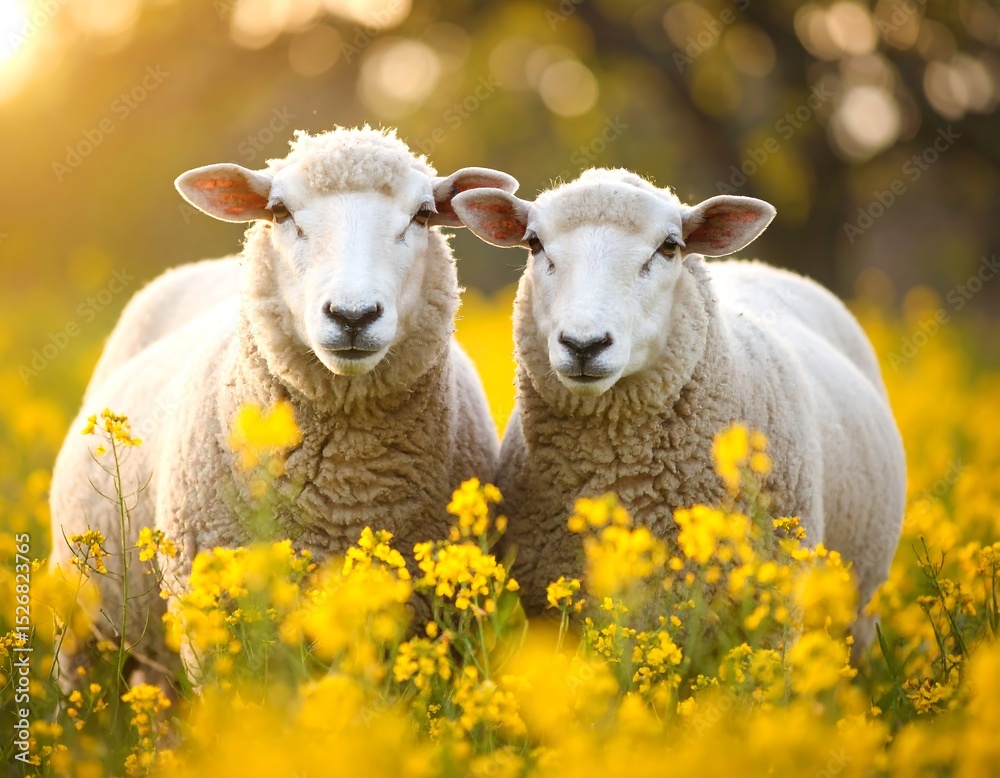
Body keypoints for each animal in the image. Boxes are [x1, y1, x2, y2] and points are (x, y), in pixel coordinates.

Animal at [49, 126, 518, 680]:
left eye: (423, 214)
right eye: (279, 211)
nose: (352, 315)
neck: (347, 494)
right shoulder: (211, 628)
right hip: (83, 619)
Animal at [452, 168, 905, 647]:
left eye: (670, 246)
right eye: (534, 242)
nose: (584, 344)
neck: (623, 475)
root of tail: (760, 267)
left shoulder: (773, 621)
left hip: (860, 610)